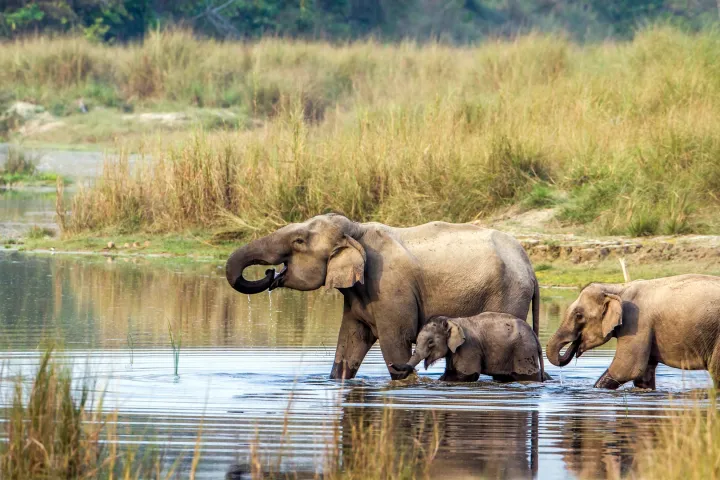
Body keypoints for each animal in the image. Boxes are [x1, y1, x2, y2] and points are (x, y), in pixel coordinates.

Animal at [226, 214, 540, 378]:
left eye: (299, 242)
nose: (270, 274)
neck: (357, 230)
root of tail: (530, 266)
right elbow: (349, 345)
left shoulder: (390, 290)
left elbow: (396, 343)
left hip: (509, 294)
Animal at [390, 316, 548, 382]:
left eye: (430, 342)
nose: (390, 363)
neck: (451, 320)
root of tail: (534, 336)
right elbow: (449, 374)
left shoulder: (469, 348)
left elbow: (466, 375)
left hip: (524, 352)